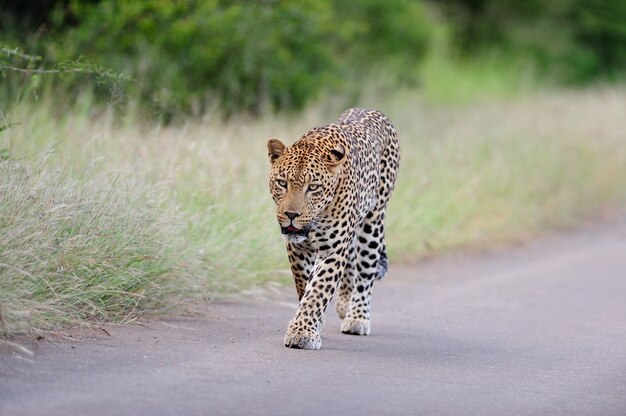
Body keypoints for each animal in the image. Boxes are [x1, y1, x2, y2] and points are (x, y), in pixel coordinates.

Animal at [266, 106, 398, 348]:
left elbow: (318, 290)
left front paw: (303, 332)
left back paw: (357, 318)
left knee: (365, 274)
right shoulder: (297, 248)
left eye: (313, 187)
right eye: (282, 183)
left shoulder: (332, 250)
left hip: (373, 222)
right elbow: (304, 285)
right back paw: (344, 304)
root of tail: (371, 110)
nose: (291, 215)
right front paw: (313, 324)